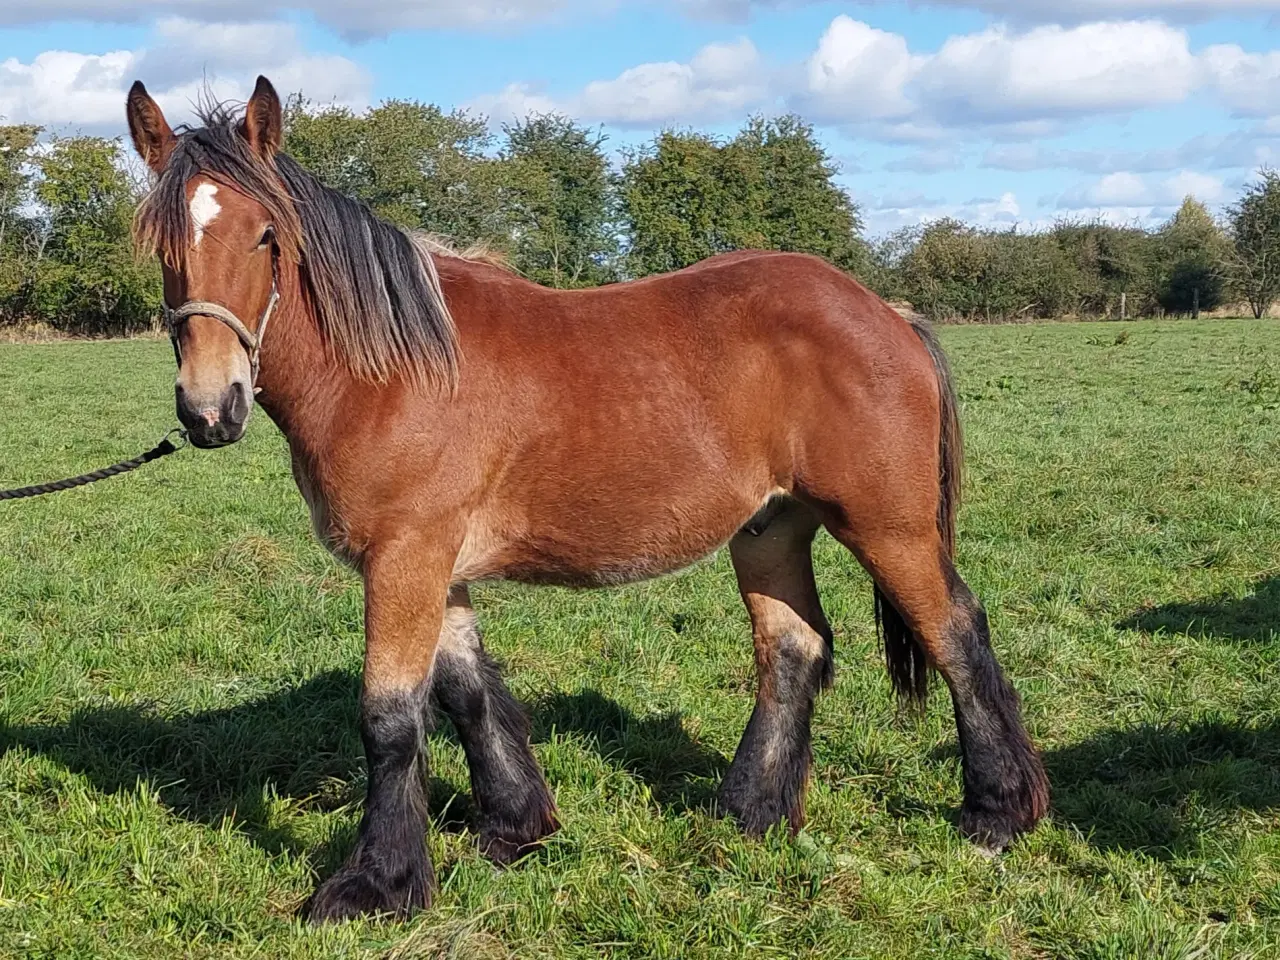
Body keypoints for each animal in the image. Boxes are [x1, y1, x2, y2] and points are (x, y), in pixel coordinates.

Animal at [124, 73, 1049, 926]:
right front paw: (515, 828)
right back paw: (747, 813)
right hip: (770, 529)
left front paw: (375, 885)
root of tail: (882, 310)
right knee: (793, 651)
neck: (393, 370)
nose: (209, 409)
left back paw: (997, 813)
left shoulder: (405, 558)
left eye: (266, 235)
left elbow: (390, 718)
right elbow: (466, 693)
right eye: (161, 244)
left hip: (887, 528)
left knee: (957, 635)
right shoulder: (436, 566)